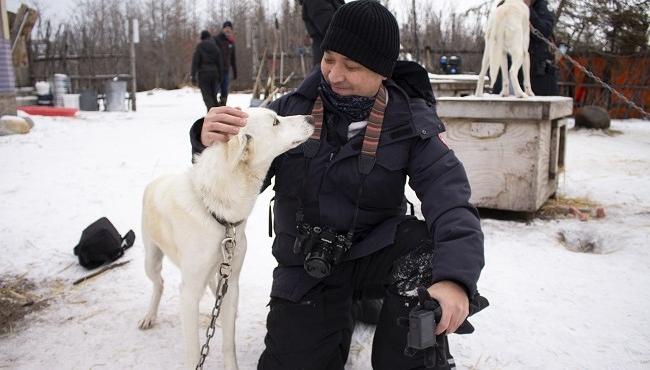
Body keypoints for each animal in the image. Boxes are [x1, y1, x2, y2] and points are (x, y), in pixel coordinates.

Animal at [139, 107, 314, 370]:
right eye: (275, 122)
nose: (312, 118)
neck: (217, 213)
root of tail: (155, 180)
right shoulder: (189, 293)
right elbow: (194, 352)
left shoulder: (231, 281)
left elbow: (228, 342)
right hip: (151, 258)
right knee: (158, 283)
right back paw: (149, 316)